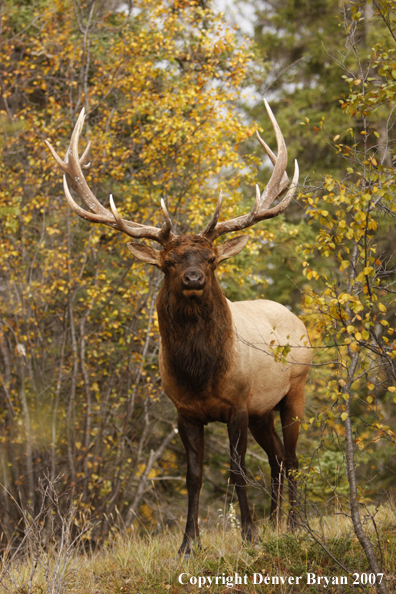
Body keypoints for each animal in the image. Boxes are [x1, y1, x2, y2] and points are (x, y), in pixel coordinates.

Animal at [46, 103, 310, 556]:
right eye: (168, 262)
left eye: (211, 259)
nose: (193, 278)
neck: (200, 374)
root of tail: (298, 321)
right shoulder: (184, 412)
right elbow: (194, 476)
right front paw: (189, 543)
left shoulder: (238, 404)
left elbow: (238, 471)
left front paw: (249, 535)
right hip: (263, 409)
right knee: (276, 458)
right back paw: (277, 523)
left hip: (295, 388)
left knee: (290, 459)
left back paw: (291, 525)